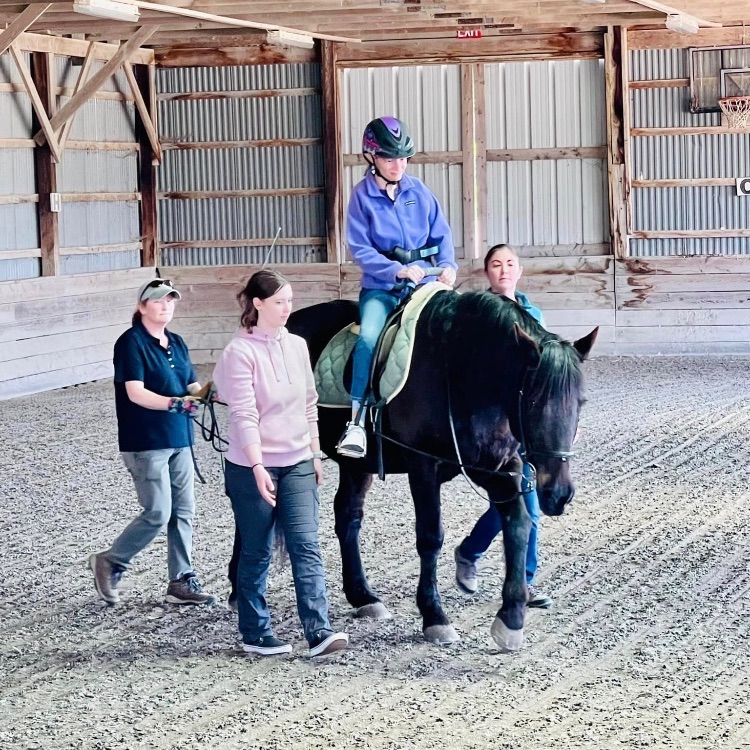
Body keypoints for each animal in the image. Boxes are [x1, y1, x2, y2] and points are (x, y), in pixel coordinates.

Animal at [231, 288, 600, 652]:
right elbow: (430, 535)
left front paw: (511, 618)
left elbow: (518, 526)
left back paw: (362, 596)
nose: (558, 493)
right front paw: (435, 616)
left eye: (581, 402)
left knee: (347, 515)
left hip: (356, 465)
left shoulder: (500, 469)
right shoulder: (423, 465)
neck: (461, 369)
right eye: (534, 401)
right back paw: (238, 587)